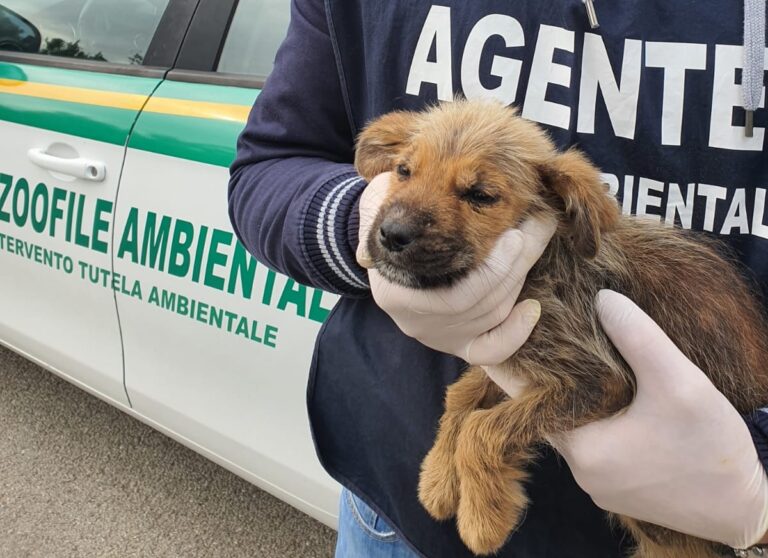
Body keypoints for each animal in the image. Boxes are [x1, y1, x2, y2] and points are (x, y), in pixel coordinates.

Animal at [356, 100, 768, 558]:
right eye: (404, 171)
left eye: (481, 195)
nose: (392, 235)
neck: (546, 262)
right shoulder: (514, 351)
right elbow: (462, 396)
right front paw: (439, 479)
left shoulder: (599, 377)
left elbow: (483, 429)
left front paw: (483, 519)